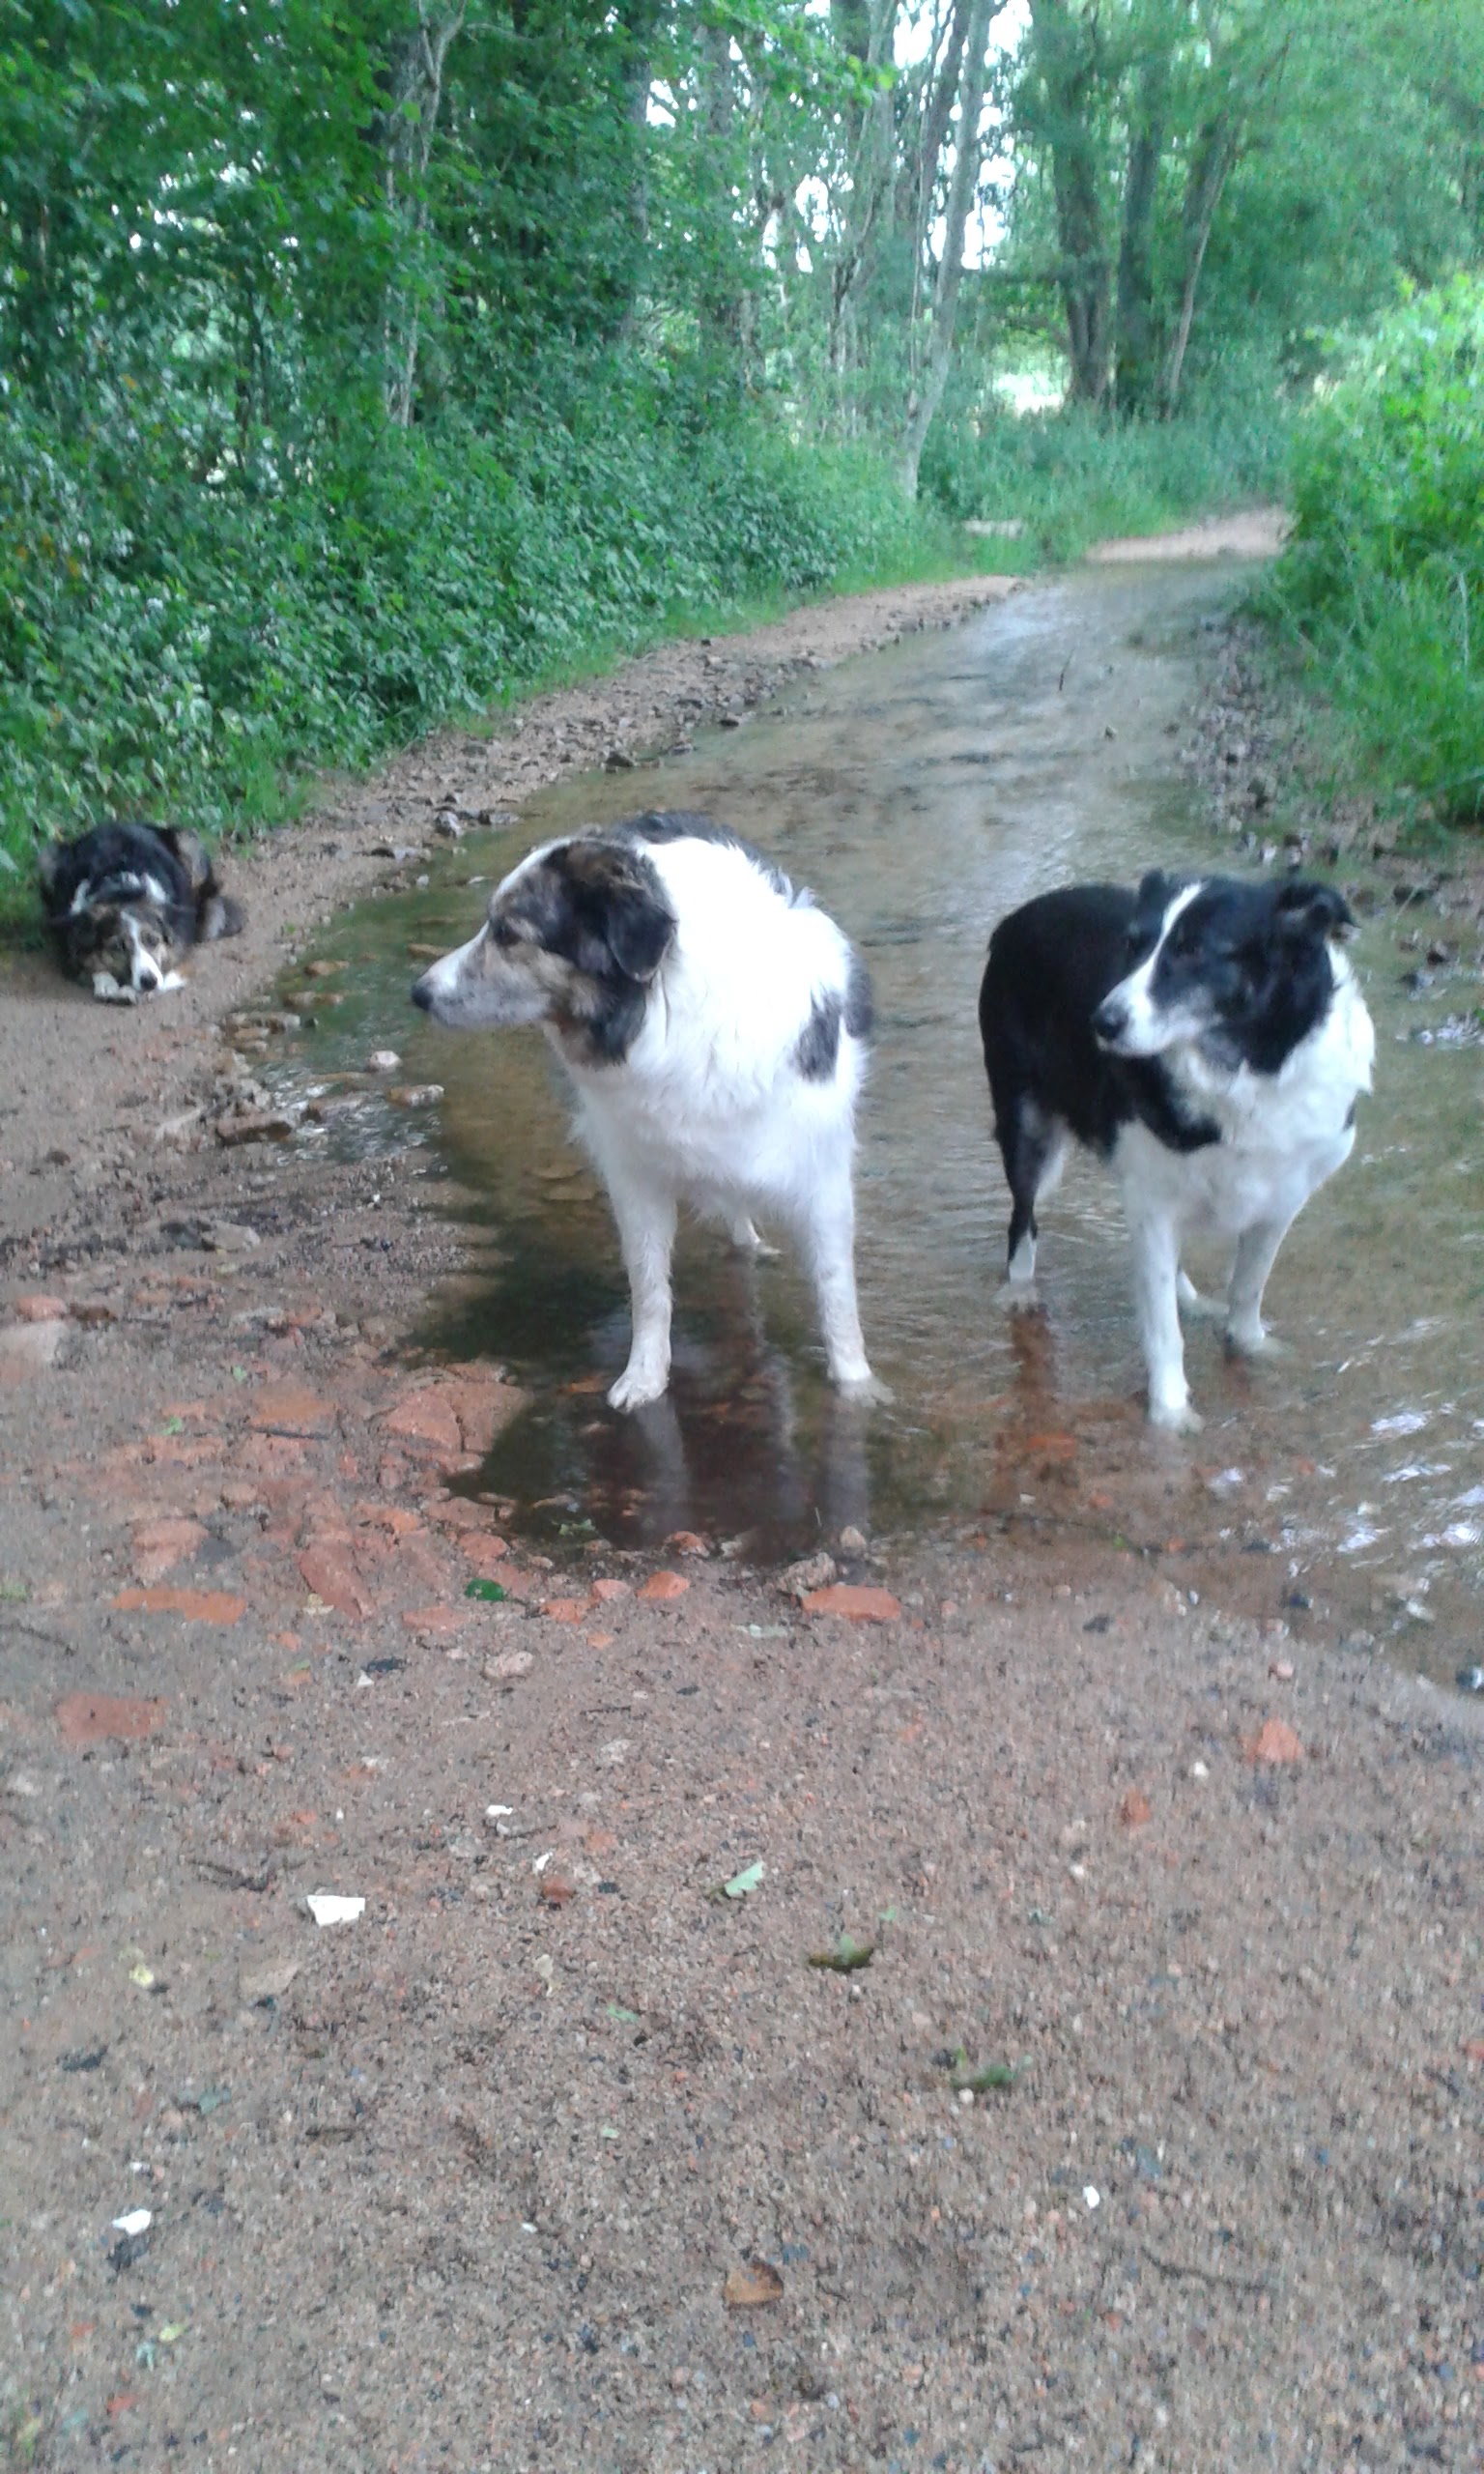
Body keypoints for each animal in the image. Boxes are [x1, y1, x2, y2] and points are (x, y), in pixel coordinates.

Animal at [41, 820, 245, 994]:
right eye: (118, 946)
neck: (123, 890)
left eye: (153, 940)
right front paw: (106, 983)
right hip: (49, 857)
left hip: (188, 840)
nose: (149, 982)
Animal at [410, 811, 885, 1415]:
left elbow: (836, 1293)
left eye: (508, 934)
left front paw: (856, 1385)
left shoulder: (821, 1175)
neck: (670, 1010)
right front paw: (645, 1378)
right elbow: (649, 1287)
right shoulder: (636, 1174)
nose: (418, 993)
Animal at [979, 871, 1375, 1434]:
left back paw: (1189, 1296)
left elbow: (1247, 1286)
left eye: (1192, 951)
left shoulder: (1281, 1195)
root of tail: (1013, 919)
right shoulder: (1152, 1196)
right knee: (1022, 1216)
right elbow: (1163, 1327)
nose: (1102, 1022)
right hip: (1027, 1123)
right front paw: (1170, 1413)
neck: (1244, 1066)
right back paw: (1019, 1289)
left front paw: (1248, 1345)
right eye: (1133, 945)